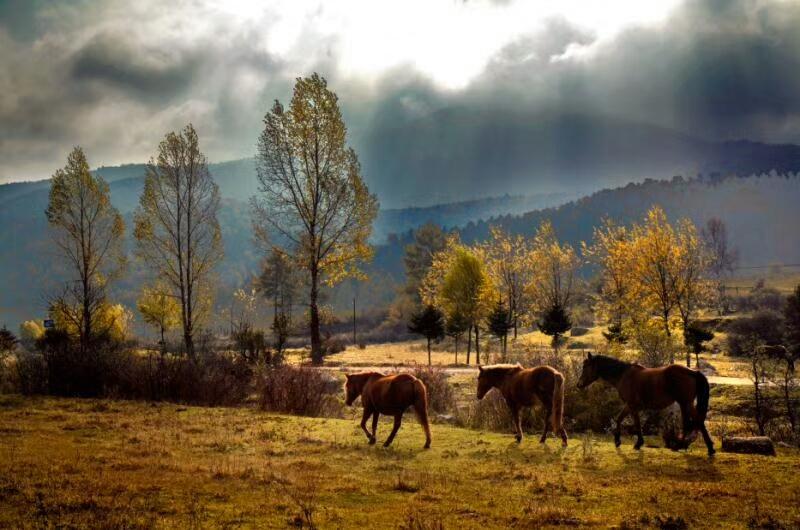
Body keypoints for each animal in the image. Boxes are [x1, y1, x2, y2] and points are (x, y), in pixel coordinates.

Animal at [580, 350, 716, 454]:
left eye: (585, 367)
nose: (579, 384)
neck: (623, 375)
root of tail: (693, 372)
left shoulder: (632, 406)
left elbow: (635, 423)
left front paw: (635, 443)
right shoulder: (630, 406)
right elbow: (620, 419)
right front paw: (619, 441)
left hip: (685, 403)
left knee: (694, 422)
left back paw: (687, 446)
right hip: (686, 404)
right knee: (694, 422)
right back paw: (703, 448)